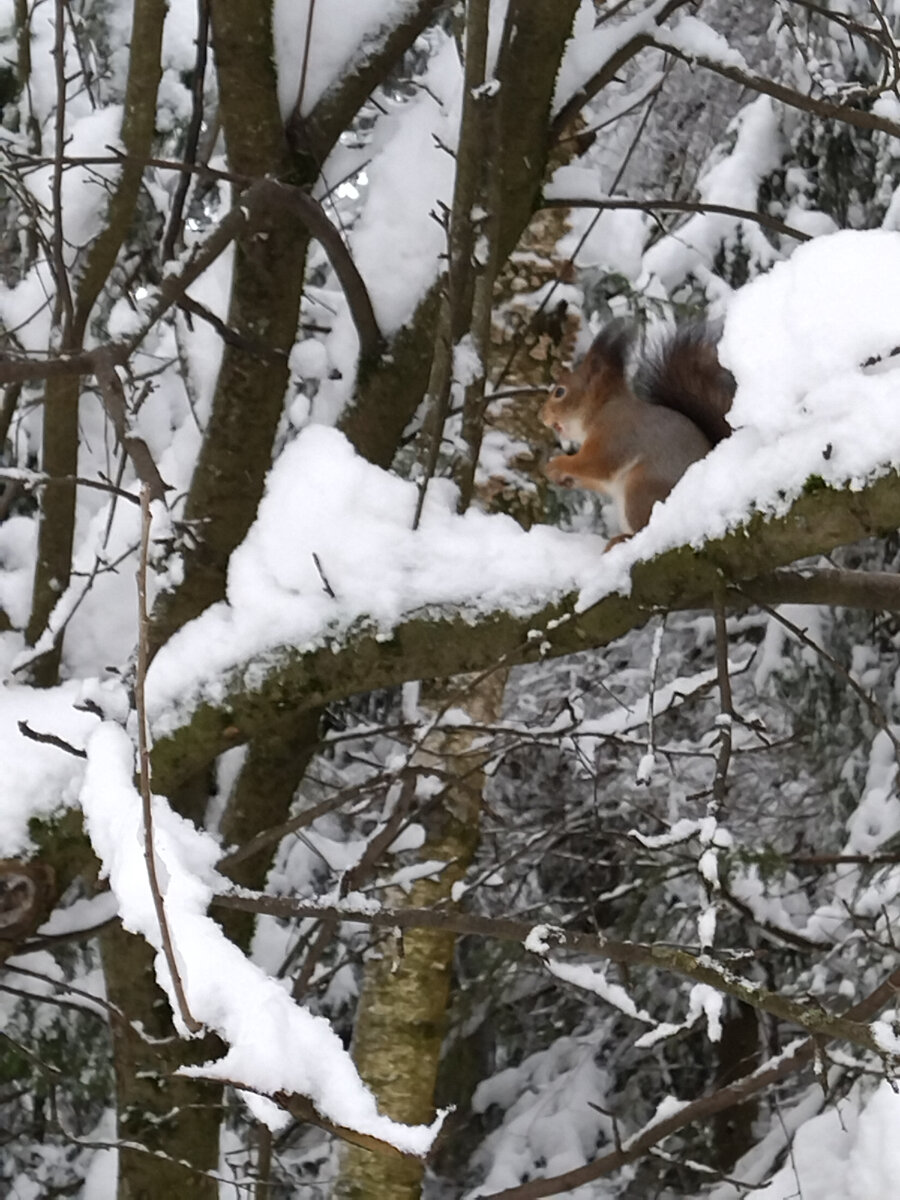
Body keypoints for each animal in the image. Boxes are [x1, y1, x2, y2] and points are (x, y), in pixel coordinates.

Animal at [540, 316, 734, 547]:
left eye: (560, 392)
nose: (541, 416)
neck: (602, 409)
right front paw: (563, 478)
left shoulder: (616, 435)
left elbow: (596, 464)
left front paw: (556, 464)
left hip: (641, 488)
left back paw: (623, 539)